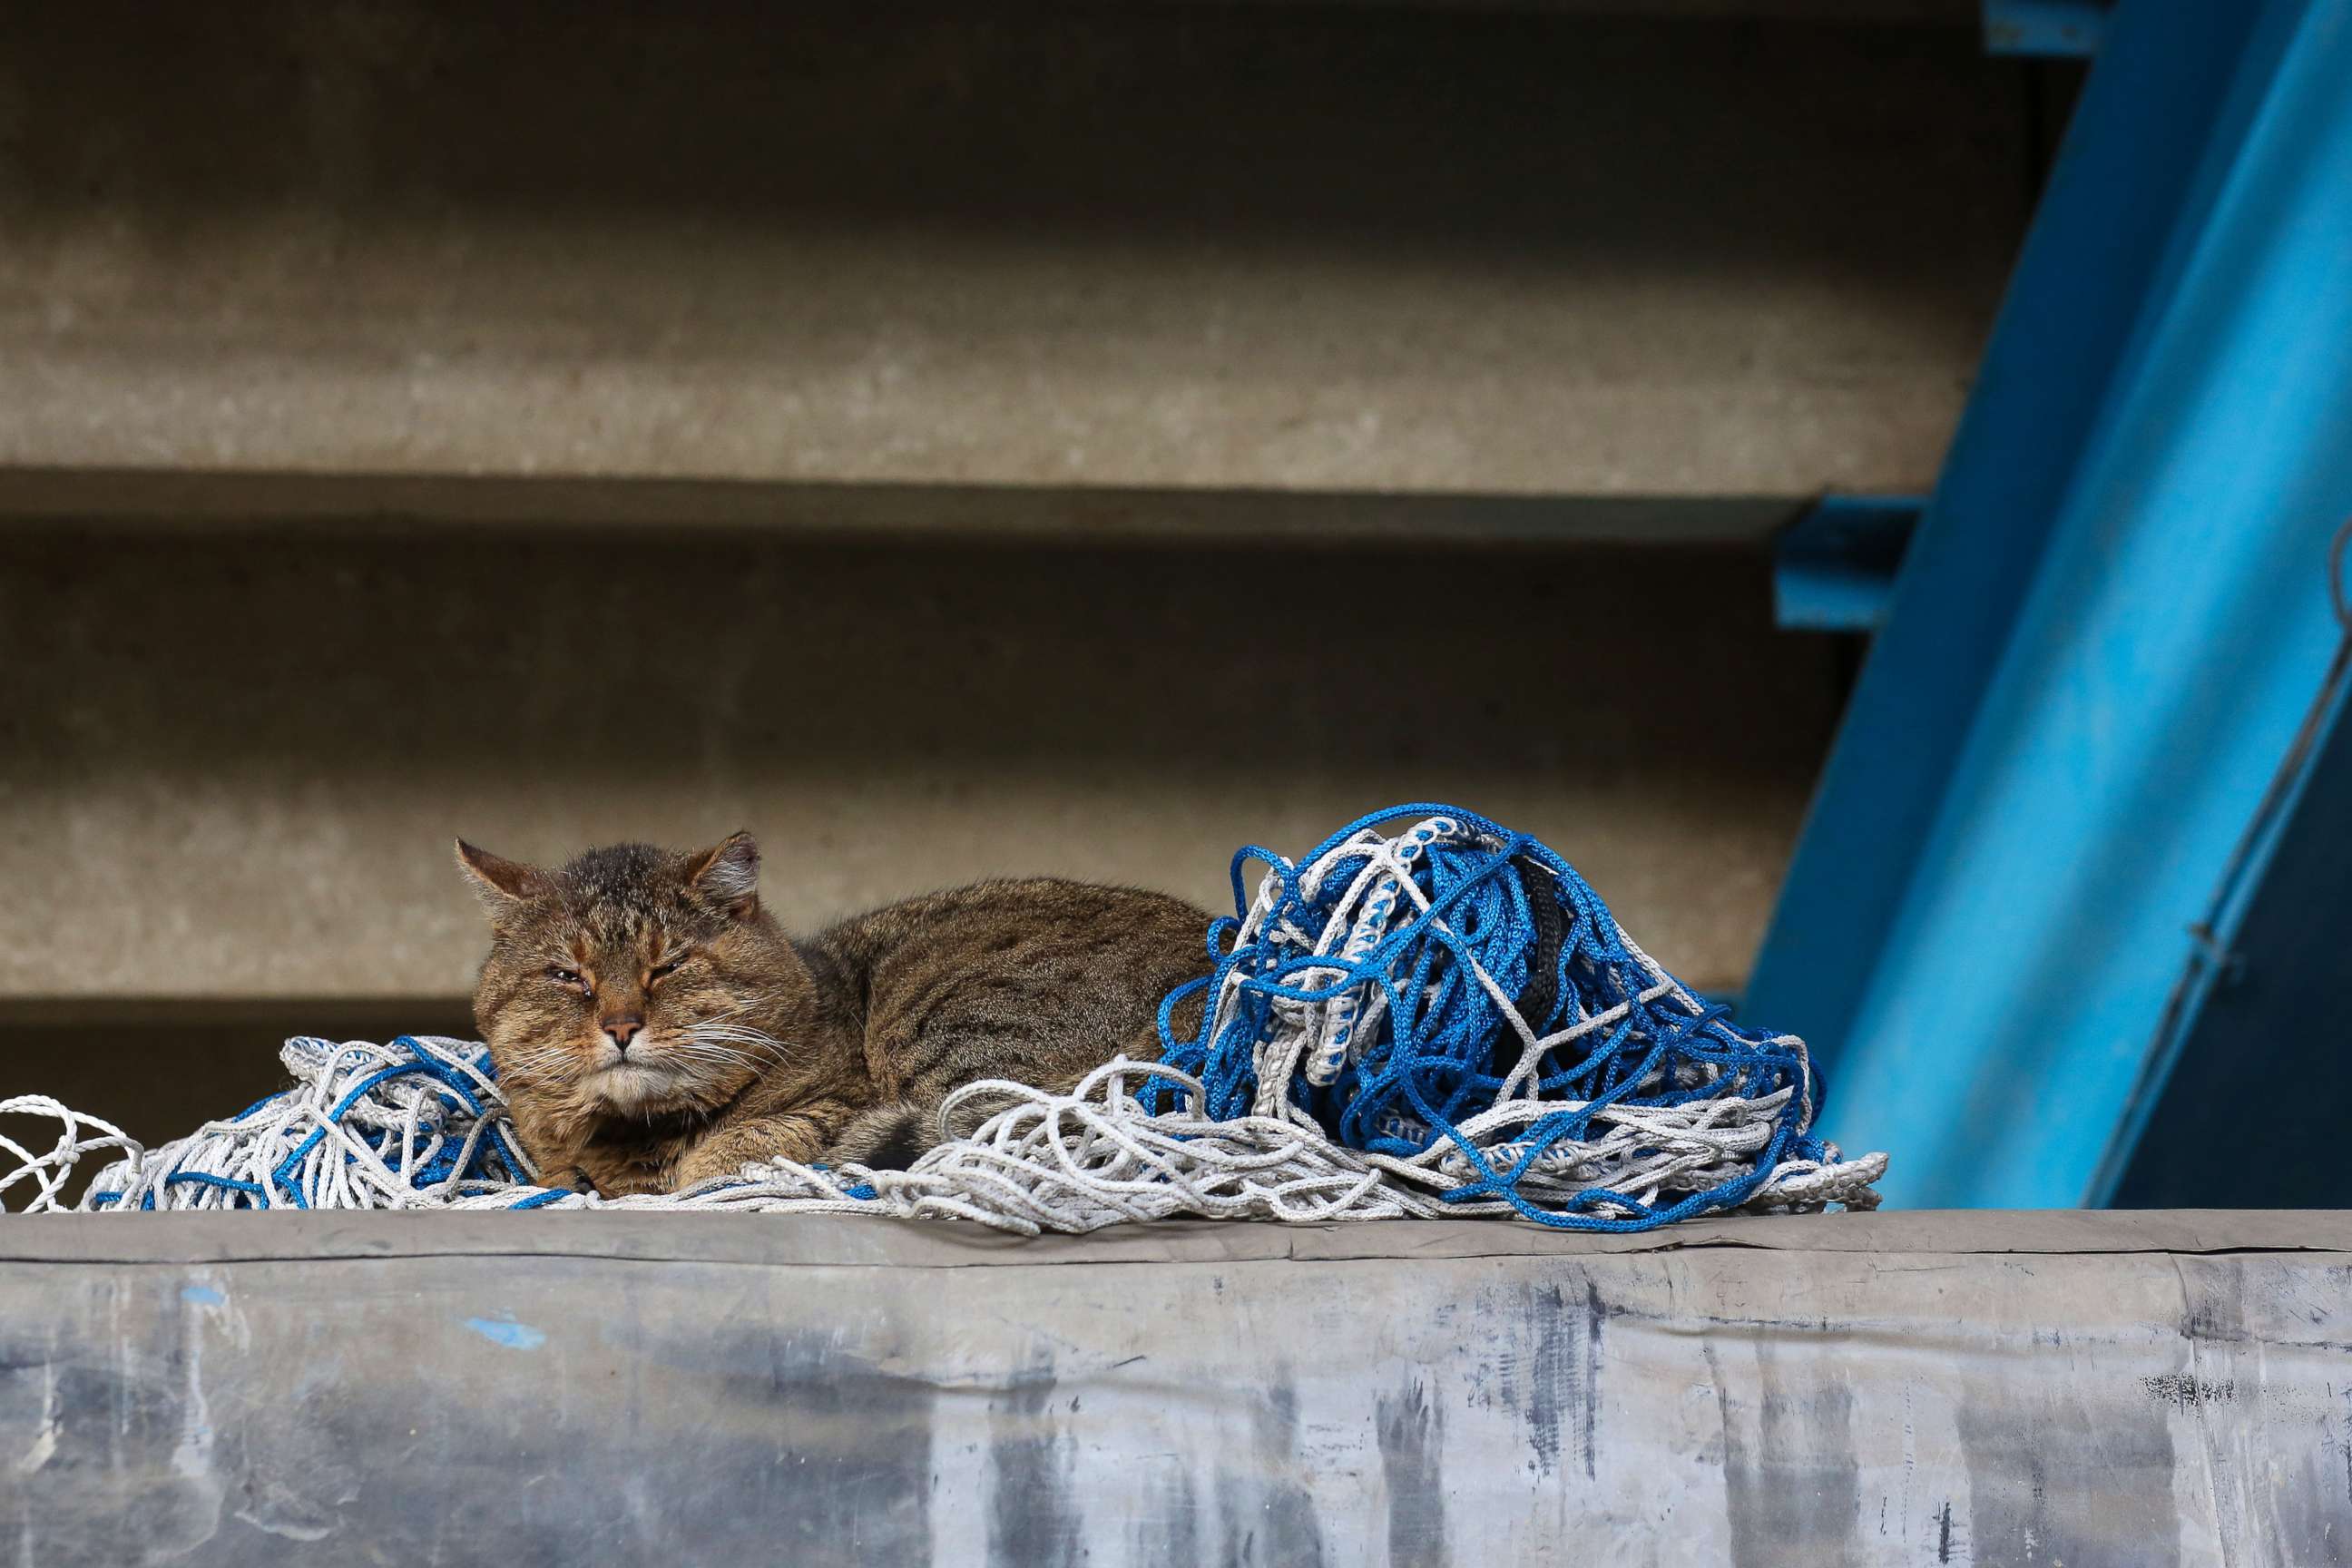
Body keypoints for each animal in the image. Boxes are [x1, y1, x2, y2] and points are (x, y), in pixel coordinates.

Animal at [456, 841, 1213, 1194]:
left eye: (668, 965)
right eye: (568, 976)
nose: (619, 1026)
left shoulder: (841, 1102)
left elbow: (746, 1143)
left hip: (941, 1026)